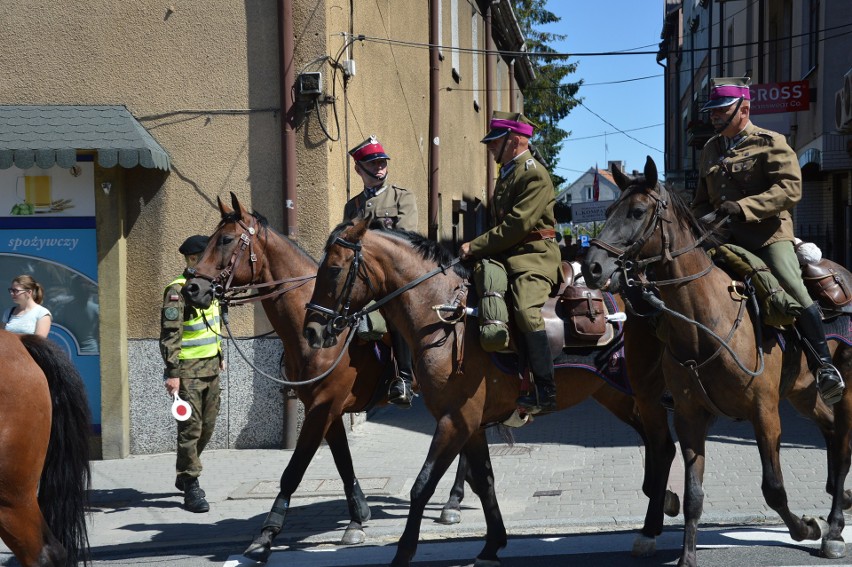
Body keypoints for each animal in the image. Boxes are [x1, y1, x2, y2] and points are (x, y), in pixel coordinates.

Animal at [182, 195, 472, 564]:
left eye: (227, 239)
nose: (193, 288)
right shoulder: (324, 408)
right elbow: (343, 461)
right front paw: (357, 518)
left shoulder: (324, 407)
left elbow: (294, 471)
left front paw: (265, 537)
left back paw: (453, 502)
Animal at [304, 221, 680, 567]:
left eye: (333, 268)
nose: (312, 329)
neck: (443, 316)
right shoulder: (469, 424)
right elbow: (484, 481)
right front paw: (491, 545)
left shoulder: (454, 420)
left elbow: (423, 484)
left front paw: (404, 552)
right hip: (617, 395)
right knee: (656, 443)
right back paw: (660, 503)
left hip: (644, 393)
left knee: (662, 446)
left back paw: (650, 528)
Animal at [580, 158, 852, 567]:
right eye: (609, 210)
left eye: (637, 212)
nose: (592, 267)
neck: (706, 321)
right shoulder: (689, 416)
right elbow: (693, 494)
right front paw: (687, 557)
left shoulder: (764, 413)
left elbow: (773, 488)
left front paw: (805, 528)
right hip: (804, 393)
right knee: (833, 434)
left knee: (844, 444)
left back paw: (833, 528)